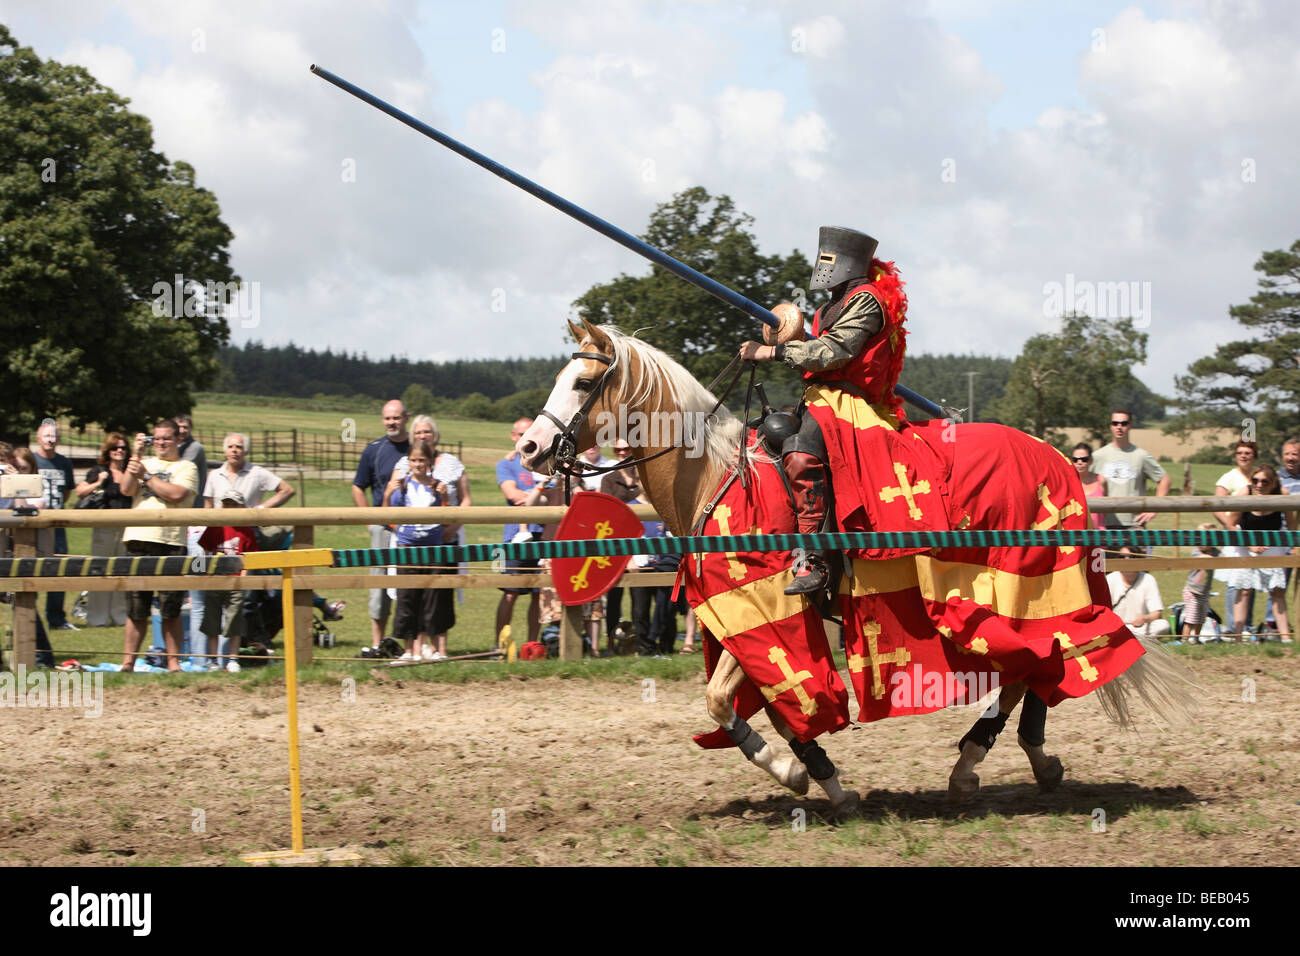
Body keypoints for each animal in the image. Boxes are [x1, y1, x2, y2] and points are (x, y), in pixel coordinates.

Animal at [514, 317, 1190, 811]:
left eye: (582, 384)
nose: (530, 447)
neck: (715, 479)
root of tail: (1055, 458)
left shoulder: (767, 610)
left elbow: (728, 701)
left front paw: (792, 773)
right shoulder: (737, 621)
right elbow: (760, 704)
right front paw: (824, 779)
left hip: (1023, 582)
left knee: (1044, 657)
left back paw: (988, 761)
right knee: (1037, 662)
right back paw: (1017, 761)